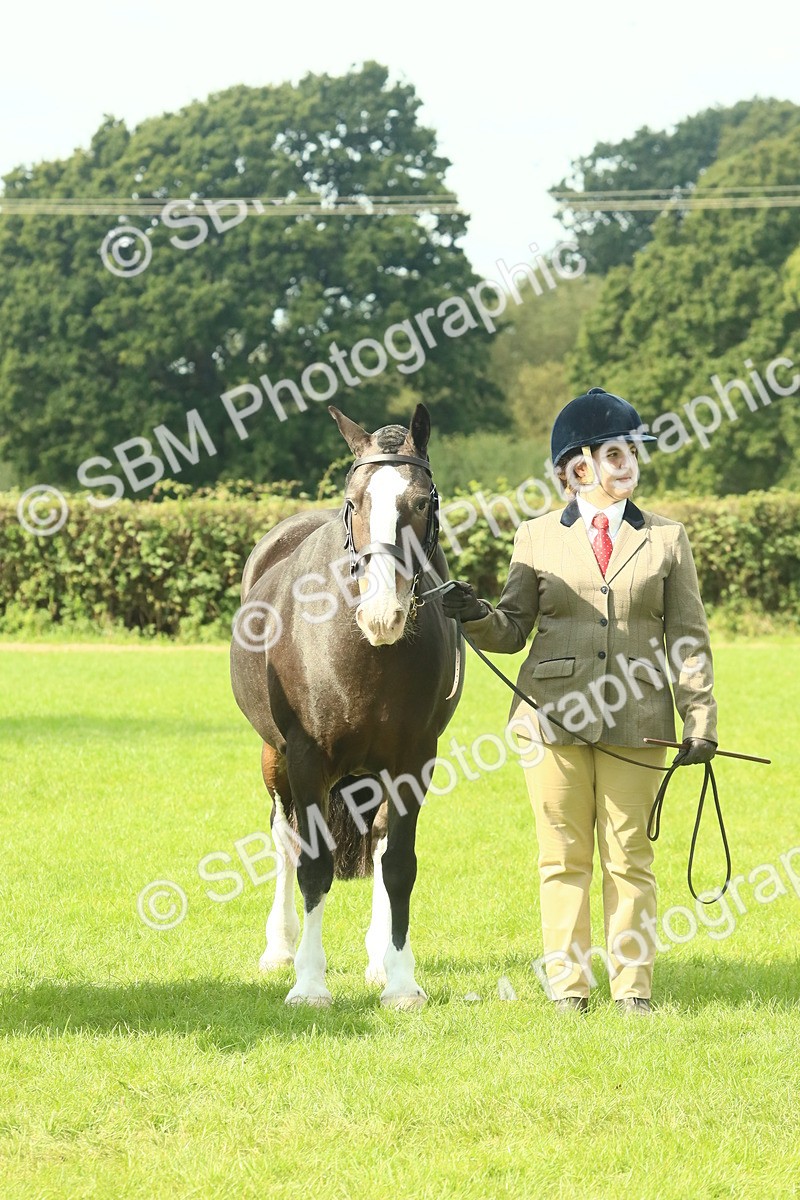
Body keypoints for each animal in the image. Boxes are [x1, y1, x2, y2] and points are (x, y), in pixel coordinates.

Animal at [230, 403, 464, 1008]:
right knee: (283, 838)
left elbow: (399, 866)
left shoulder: (413, 762)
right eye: (355, 502)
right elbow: (313, 867)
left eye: (423, 501)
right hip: (273, 757)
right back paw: (279, 948)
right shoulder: (306, 758)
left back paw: (379, 959)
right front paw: (309, 983)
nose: (383, 612)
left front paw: (401, 980)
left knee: (379, 844)